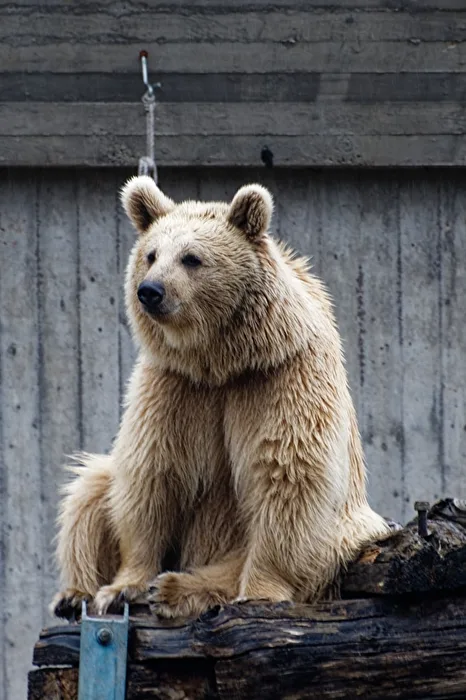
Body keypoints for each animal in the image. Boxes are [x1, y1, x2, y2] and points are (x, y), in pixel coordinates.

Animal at [51, 176, 389, 619]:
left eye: (191, 258)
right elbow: (150, 473)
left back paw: (176, 588)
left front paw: (259, 590)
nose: (150, 291)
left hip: (343, 536)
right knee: (89, 491)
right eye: (151, 254)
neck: (219, 360)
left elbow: (286, 474)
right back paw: (75, 593)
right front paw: (123, 587)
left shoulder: (280, 378)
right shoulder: (174, 385)